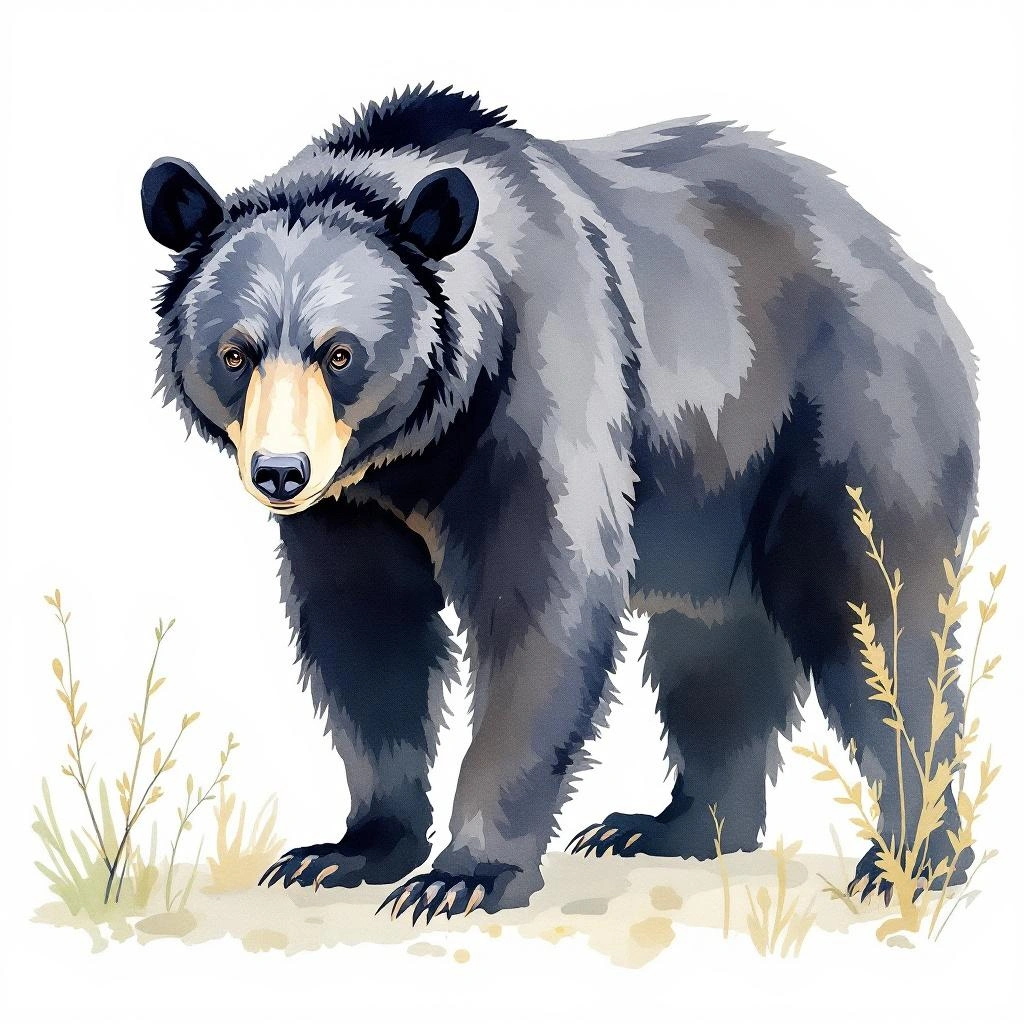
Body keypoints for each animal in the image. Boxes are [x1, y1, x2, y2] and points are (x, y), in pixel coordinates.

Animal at [141, 85, 978, 921]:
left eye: (340, 352)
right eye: (235, 353)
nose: (281, 471)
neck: (421, 442)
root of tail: (909, 267)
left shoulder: (542, 380)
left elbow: (541, 603)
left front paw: (462, 875)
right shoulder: (351, 505)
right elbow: (365, 630)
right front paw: (349, 849)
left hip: (851, 415)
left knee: (876, 617)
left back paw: (912, 857)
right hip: (716, 487)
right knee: (713, 651)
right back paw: (675, 827)